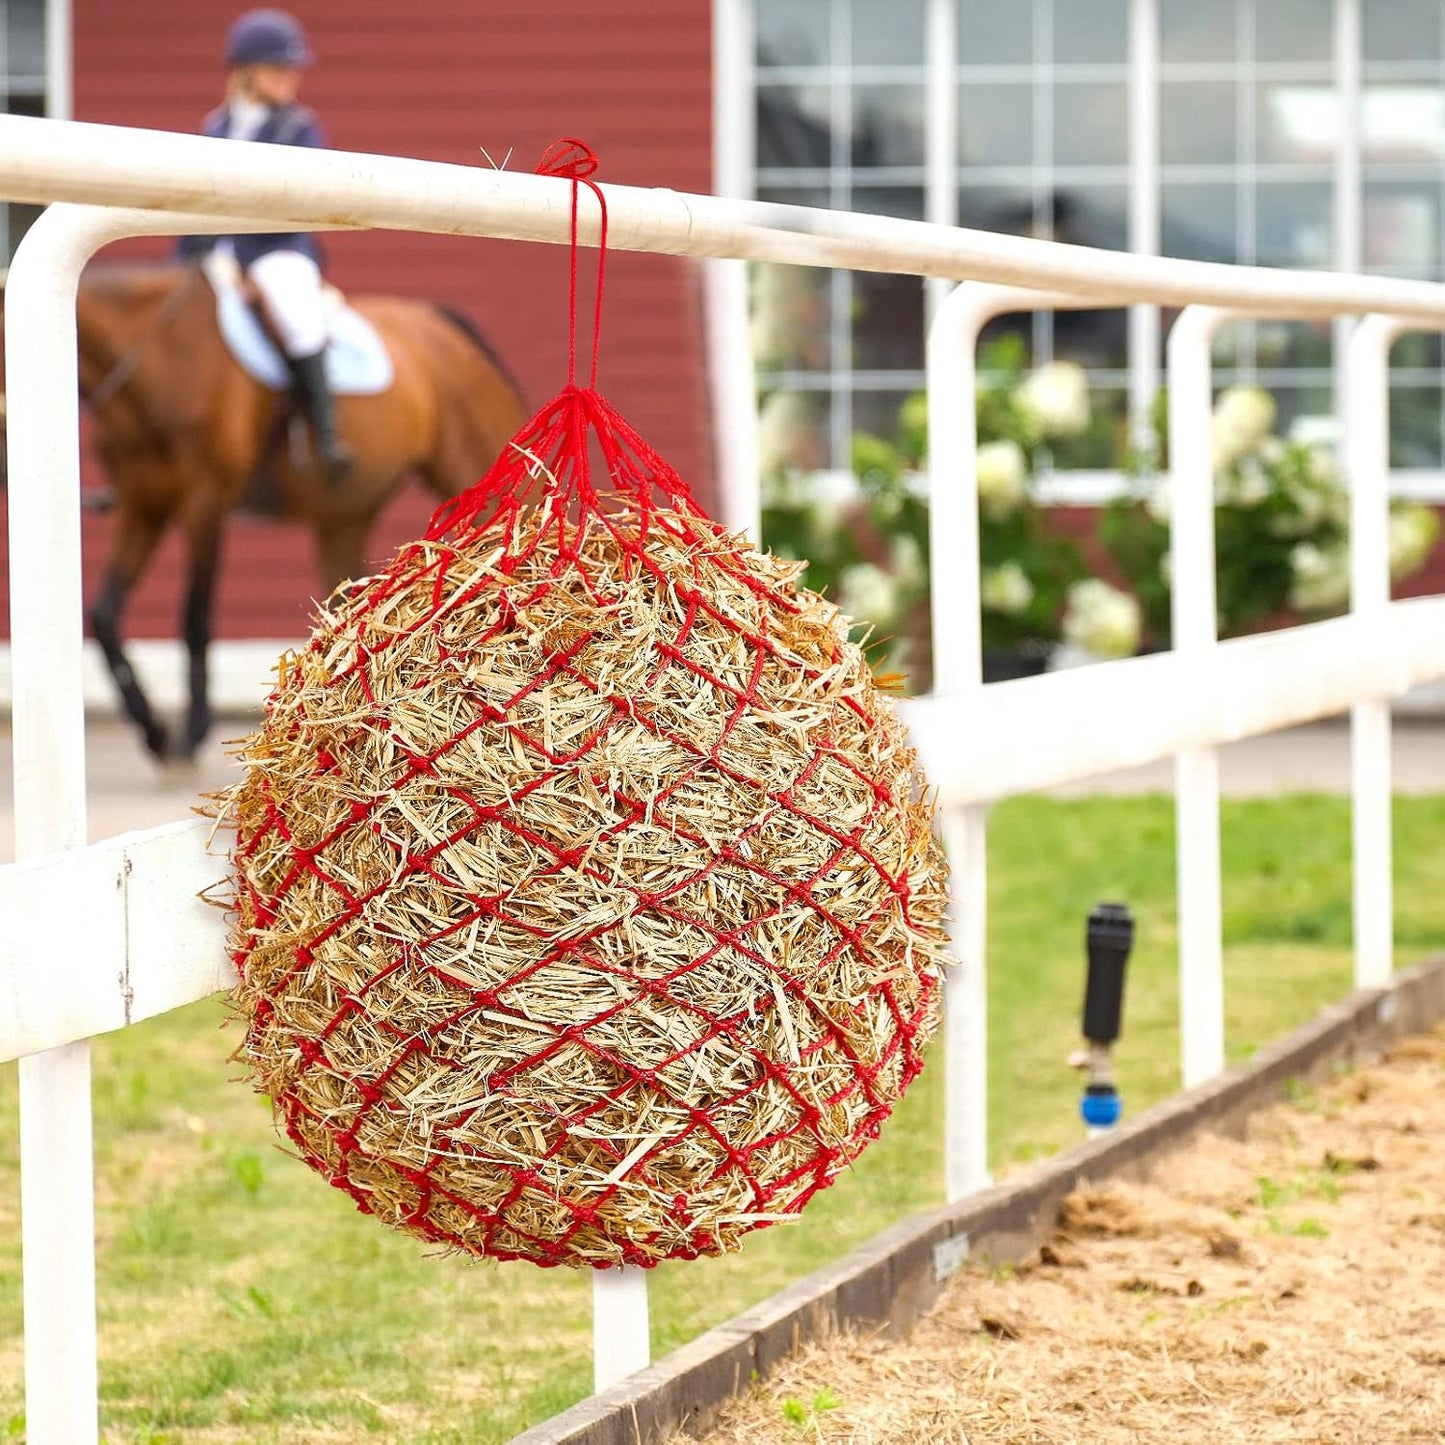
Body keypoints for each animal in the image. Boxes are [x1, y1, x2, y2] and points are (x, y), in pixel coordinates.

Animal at [0, 263, 529, 761]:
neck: (158, 359)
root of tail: (440, 323)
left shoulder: (205, 500)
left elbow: (195, 618)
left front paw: (192, 732)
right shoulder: (142, 505)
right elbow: (106, 615)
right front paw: (152, 730)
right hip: (346, 514)